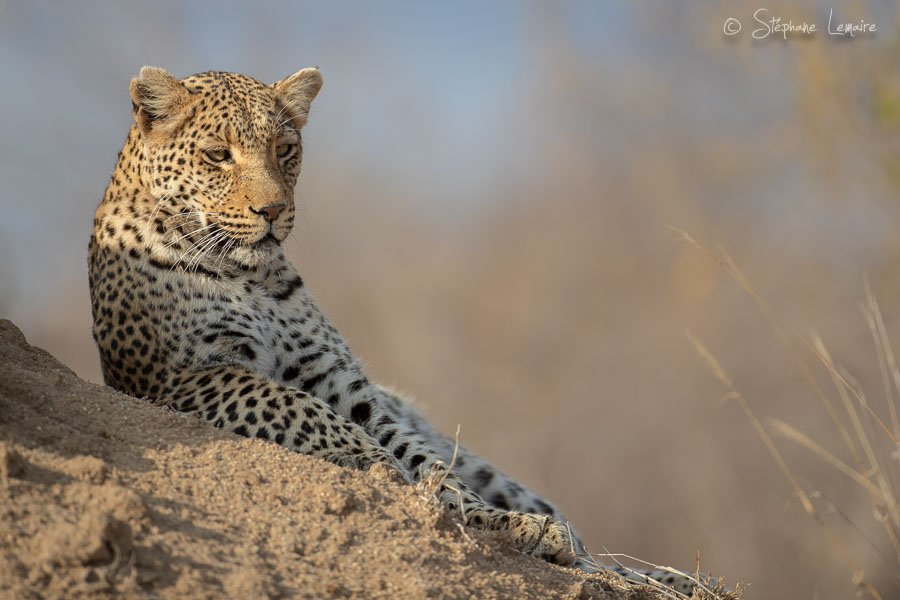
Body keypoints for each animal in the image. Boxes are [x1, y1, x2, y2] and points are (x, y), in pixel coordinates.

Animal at [88, 66, 698, 595]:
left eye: (284, 150)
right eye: (218, 155)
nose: (273, 210)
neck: (250, 274)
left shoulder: (338, 380)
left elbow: (420, 457)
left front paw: (483, 516)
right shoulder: (182, 377)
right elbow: (299, 408)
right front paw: (379, 470)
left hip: (498, 472)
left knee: (593, 553)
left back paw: (665, 576)